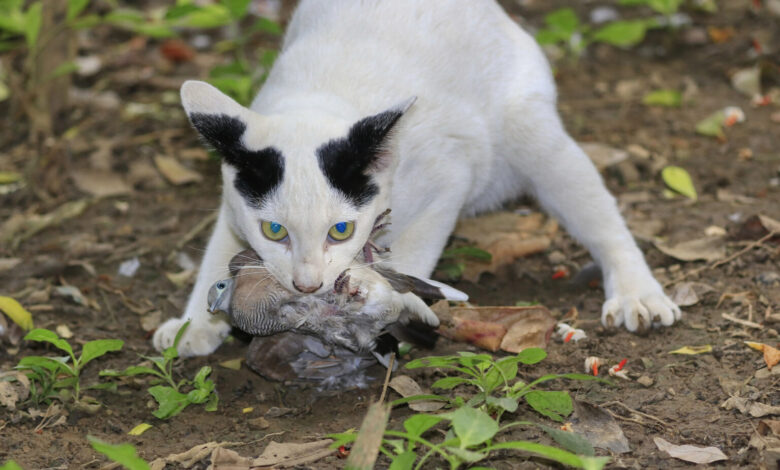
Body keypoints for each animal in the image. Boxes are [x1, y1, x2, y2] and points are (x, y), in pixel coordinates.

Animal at [152, 0, 676, 354]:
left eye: (340, 230)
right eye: (274, 230)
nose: (307, 286)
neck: (321, 98)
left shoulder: (450, 173)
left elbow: (411, 251)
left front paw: (389, 296)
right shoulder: (233, 204)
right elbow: (219, 253)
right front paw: (195, 322)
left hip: (530, 132)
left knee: (597, 209)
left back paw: (638, 292)